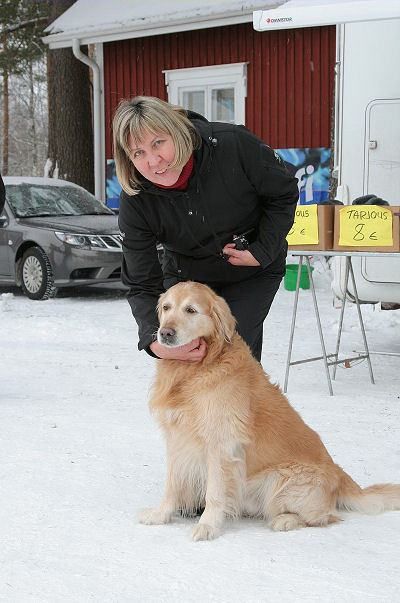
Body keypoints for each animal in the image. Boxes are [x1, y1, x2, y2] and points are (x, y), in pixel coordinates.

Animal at [138, 284, 400, 544]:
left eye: (191, 310)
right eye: (166, 307)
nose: (165, 333)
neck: (196, 368)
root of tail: (339, 474)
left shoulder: (221, 445)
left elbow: (214, 493)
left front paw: (207, 526)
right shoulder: (177, 440)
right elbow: (172, 486)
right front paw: (160, 515)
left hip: (282, 480)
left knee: (326, 517)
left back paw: (285, 520)